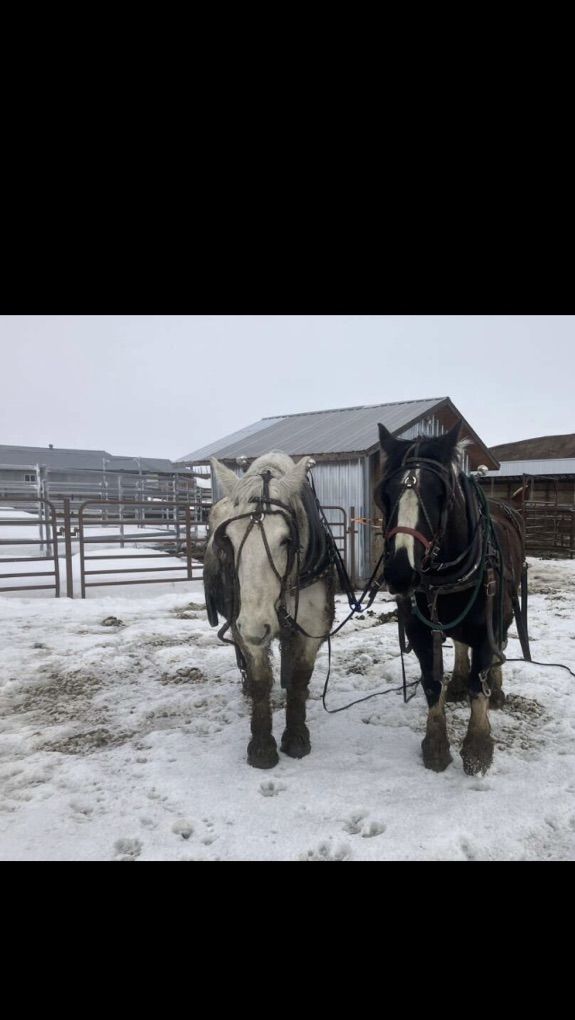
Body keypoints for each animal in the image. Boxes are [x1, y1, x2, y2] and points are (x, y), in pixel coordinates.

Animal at [203, 452, 335, 769]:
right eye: (228, 540)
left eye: (286, 540)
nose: (255, 626)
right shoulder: (244, 625)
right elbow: (260, 680)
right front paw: (262, 747)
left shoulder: (311, 627)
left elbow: (300, 676)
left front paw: (297, 737)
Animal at [374, 420, 527, 775]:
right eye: (385, 494)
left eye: (439, 494)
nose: (400, 572)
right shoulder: (418, 630)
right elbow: (432, 683)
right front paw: (435, 745)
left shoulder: (486, 629)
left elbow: (478, 686)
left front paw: (477, 748)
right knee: (459, 643)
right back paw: (457, 679)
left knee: (498, 648)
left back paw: (496, 687)